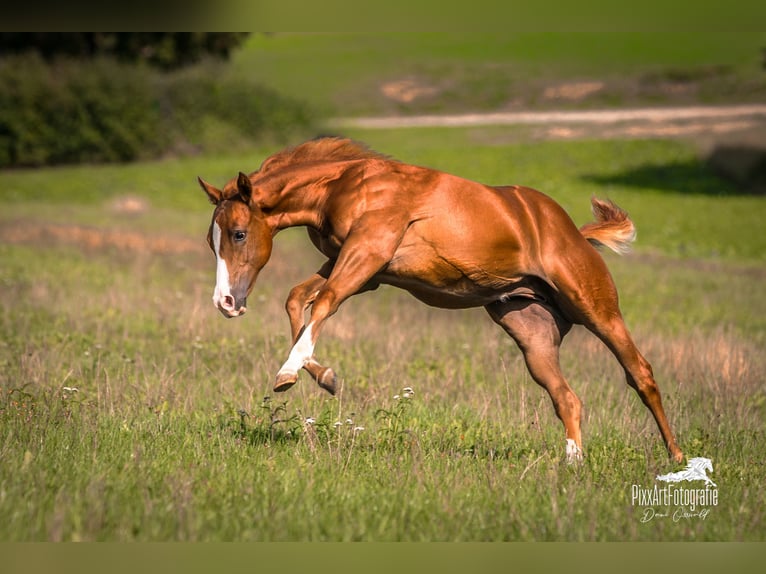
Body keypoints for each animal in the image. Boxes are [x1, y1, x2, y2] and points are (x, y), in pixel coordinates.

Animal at [198, 137, 683, 464]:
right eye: (212, 239)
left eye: (238, 233)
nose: (226, 302)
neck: (346, 185)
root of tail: (574, 232)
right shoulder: (359, 267)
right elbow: (297, 300)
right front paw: (325, 377)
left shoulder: (366, 256)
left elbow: (324, 303)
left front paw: (288, 373)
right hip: (532, 334)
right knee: (567, 397)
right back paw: (573, 463)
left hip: (596, 308)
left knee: (640, 374)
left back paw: (677, 458)